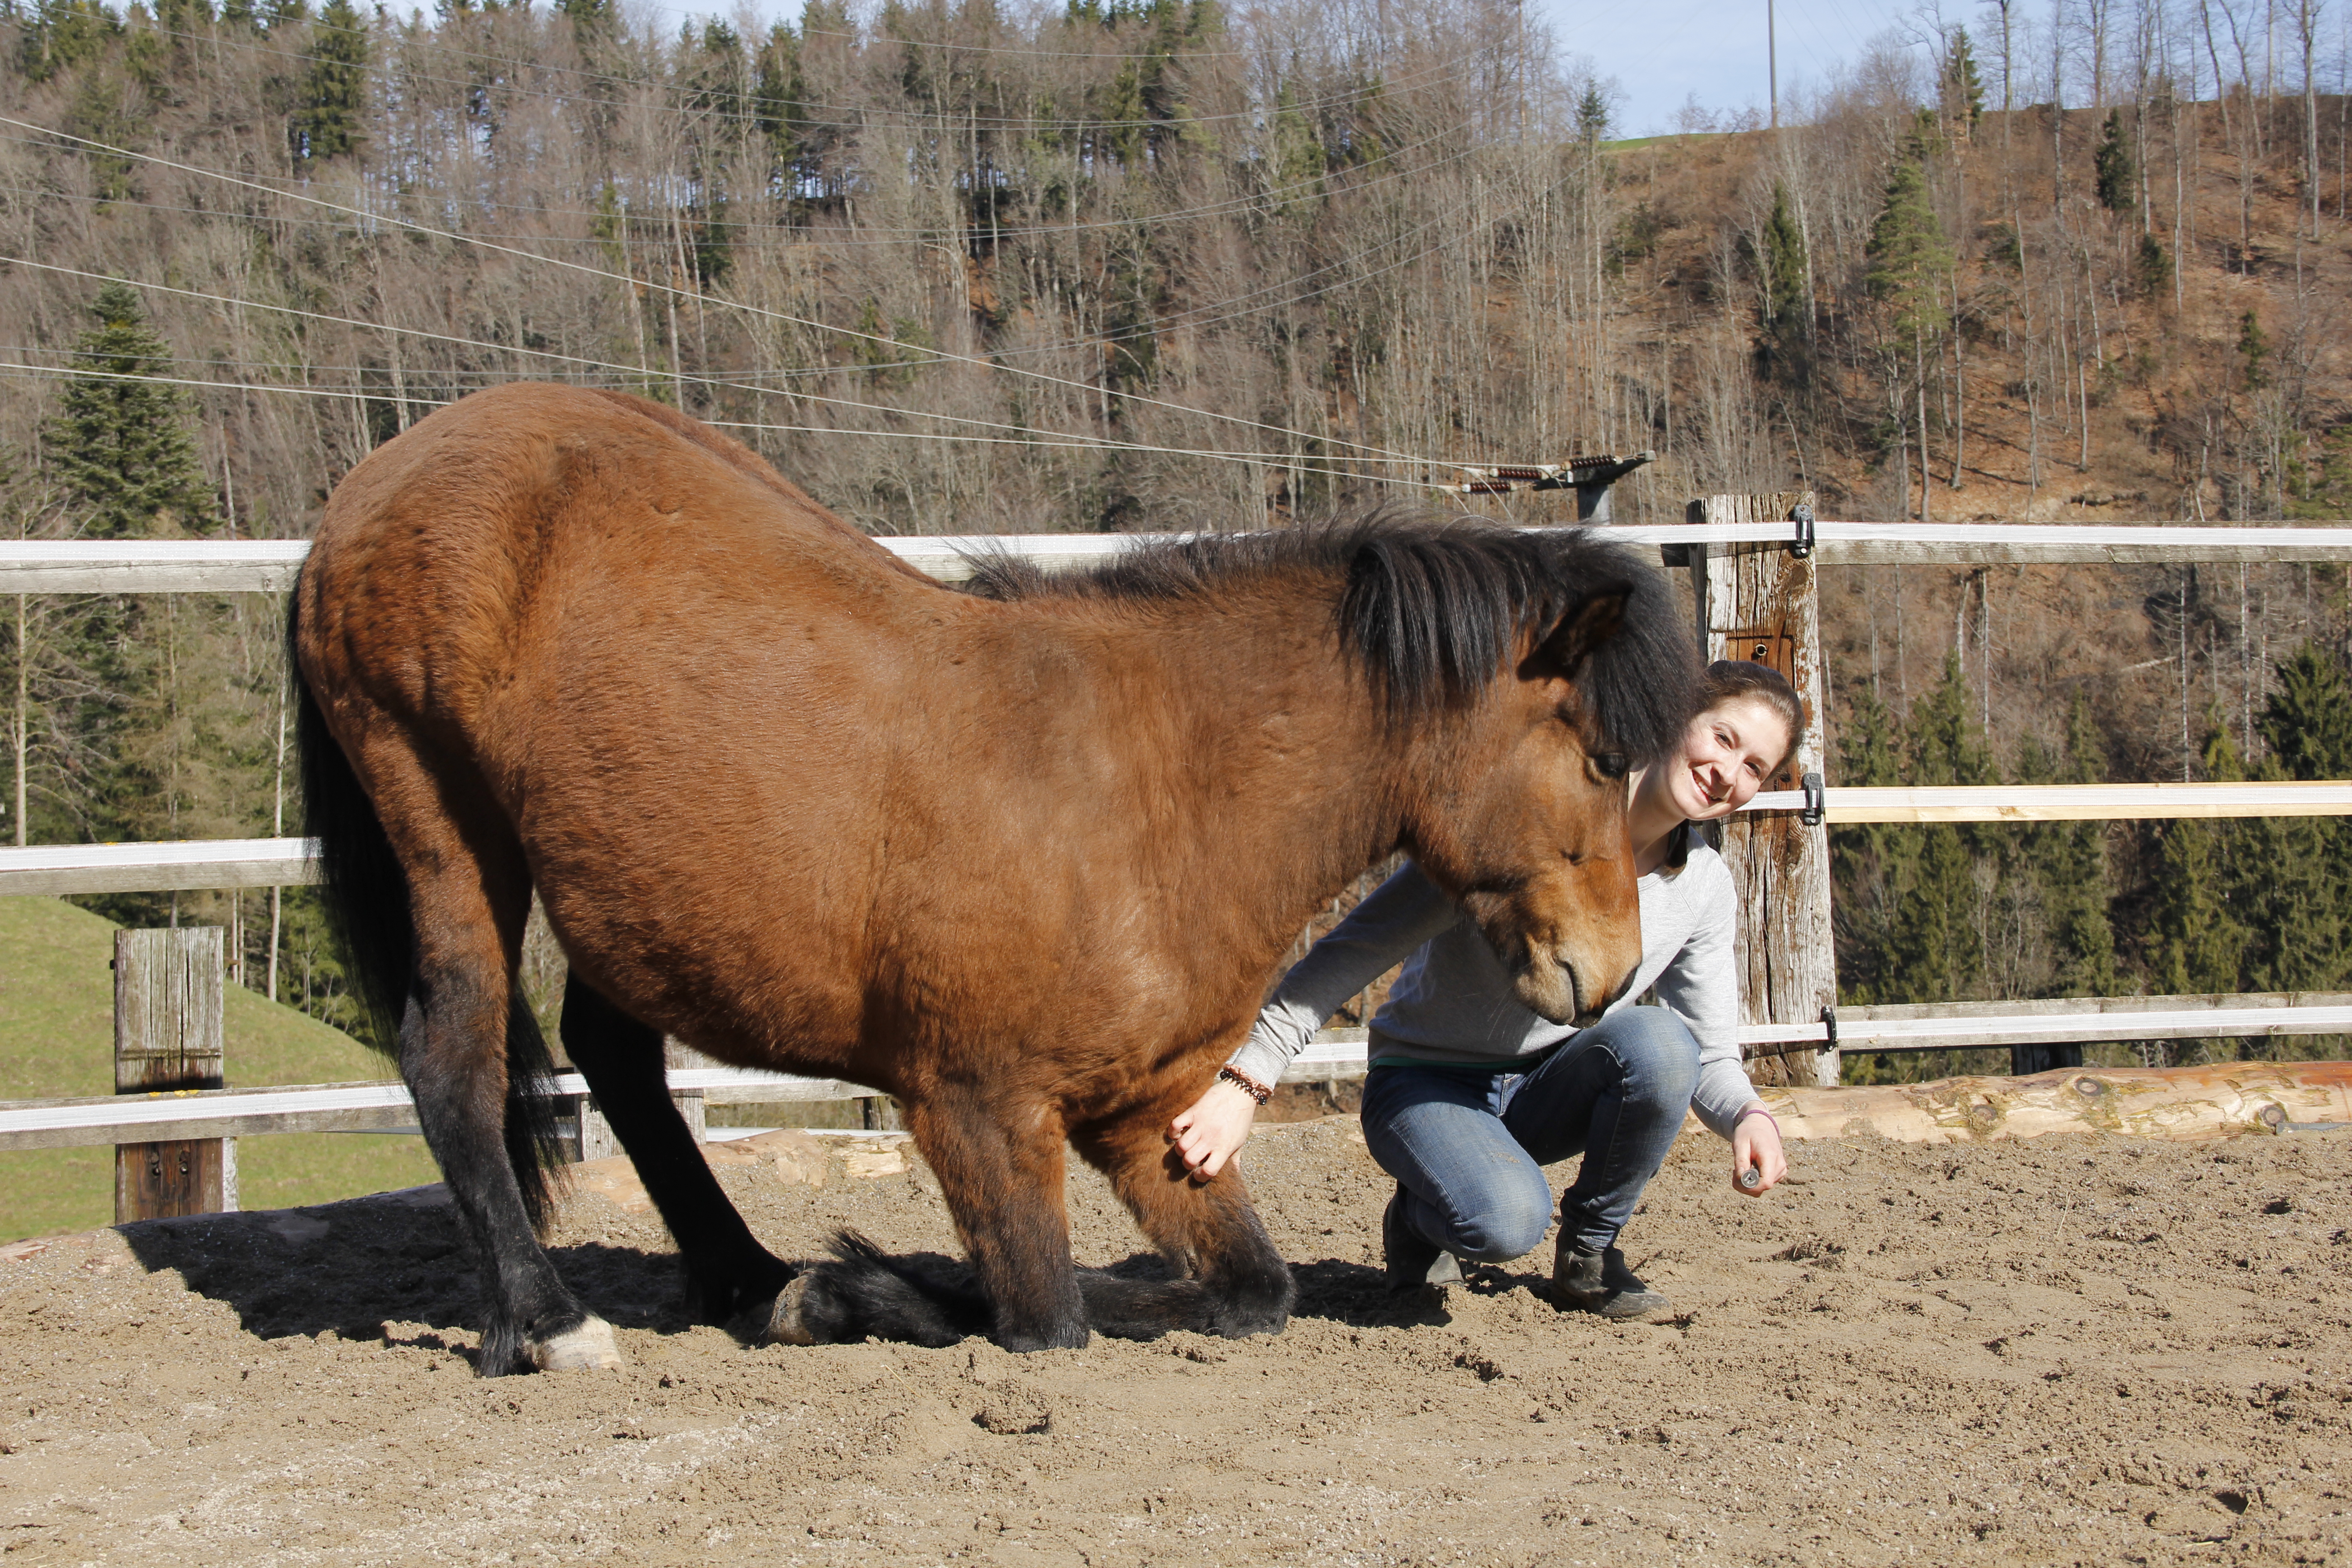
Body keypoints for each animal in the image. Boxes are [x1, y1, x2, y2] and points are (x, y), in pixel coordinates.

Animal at [289, 383, 1693, 1372]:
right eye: (1599, 757)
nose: (1610, 973)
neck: (1154, 785)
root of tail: (382, 478)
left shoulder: (1146, 1116)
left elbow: (1246, 1294)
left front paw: (836, 1286)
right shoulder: (980, 1116)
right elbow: (1046, 1315)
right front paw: (864, 1289)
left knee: (618, 1061)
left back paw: (746, 1276)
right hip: (447, 823)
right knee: (453, 1056)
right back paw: (545, 1319)